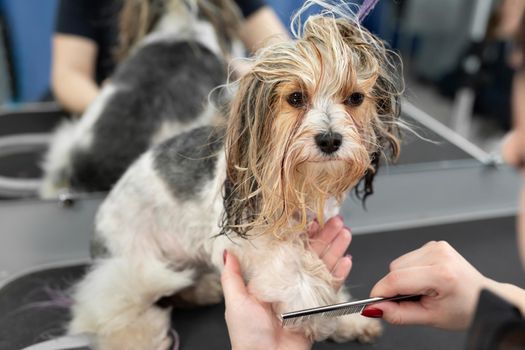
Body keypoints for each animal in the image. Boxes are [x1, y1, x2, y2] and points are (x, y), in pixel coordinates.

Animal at [65, 3, 402, 350]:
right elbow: (289, 265)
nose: (330, 139)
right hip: (131, 270)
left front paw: (349, 319)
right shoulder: (243, 239)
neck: (299, 185)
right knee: (116, 313)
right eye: (295, 97)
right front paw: (314, 309)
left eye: (355, 98)